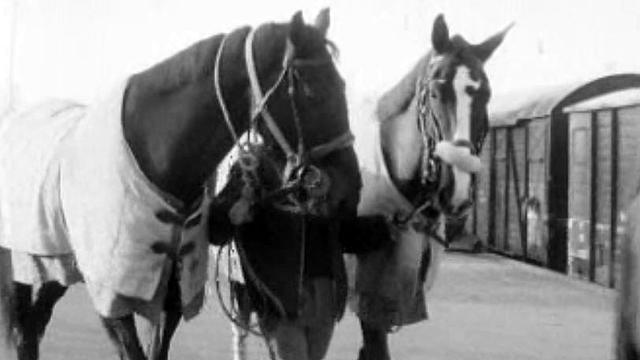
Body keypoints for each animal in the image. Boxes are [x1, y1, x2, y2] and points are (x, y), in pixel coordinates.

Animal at [0, 8, 358, 360]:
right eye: (312, 89)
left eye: (342, 83)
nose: (348, 186)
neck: (156, 159)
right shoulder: (112, 295)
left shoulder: (175, 290)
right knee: (23, 328)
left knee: (34, 323)